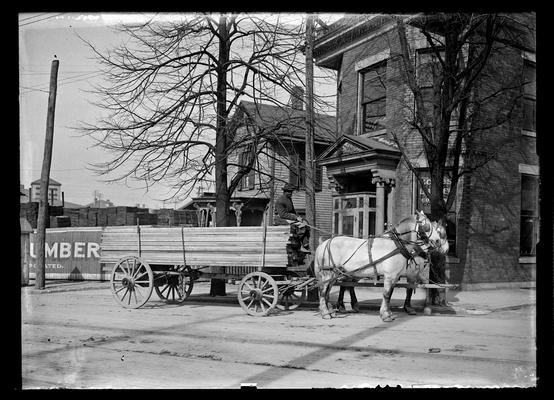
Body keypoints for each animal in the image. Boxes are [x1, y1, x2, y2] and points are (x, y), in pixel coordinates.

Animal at [312, 211, 446, 324]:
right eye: (426, 225)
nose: (438, 241)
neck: (396, 244)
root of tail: (323, 243)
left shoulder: (395, 276)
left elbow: (390, 294)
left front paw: (388, 313)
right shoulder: (390, 275)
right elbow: (386, 294)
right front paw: (386, 315)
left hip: (335, 273)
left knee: (328, 290)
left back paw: (331, 311)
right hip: (328, 272)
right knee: (323, 291)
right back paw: (326, 313)